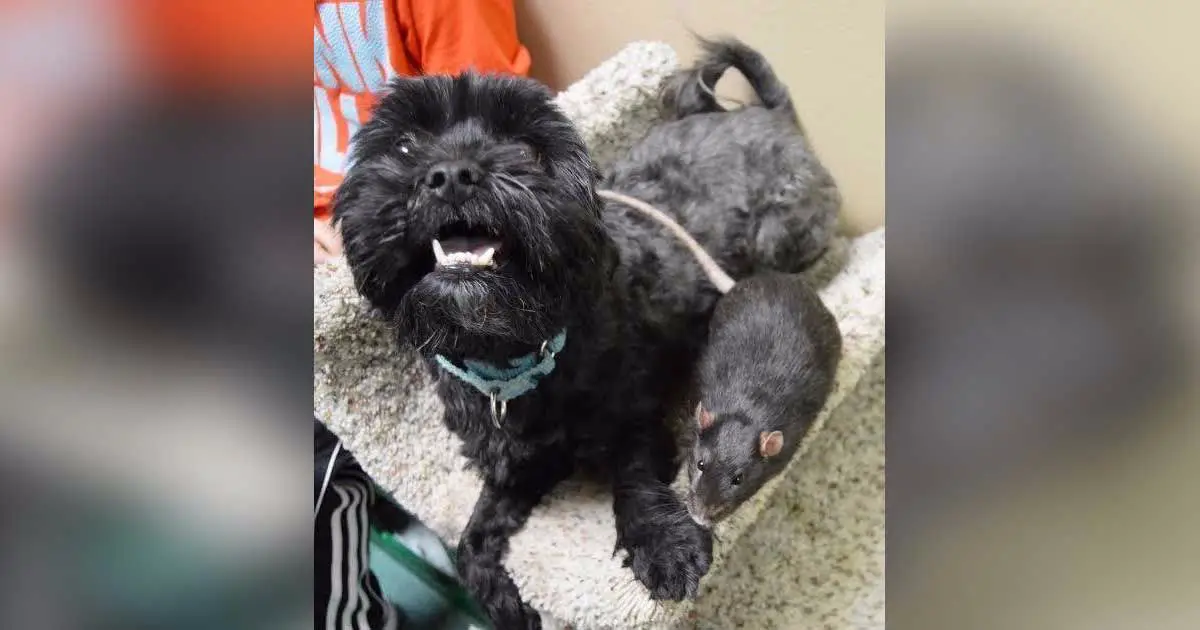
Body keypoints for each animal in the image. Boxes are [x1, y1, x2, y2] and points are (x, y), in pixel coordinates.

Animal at [331, 39, 835, 628]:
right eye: (406, 144)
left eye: (526, 149)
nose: (451, 174)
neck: (509, 358)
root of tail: (773, 114)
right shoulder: (515, 464)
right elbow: (472, 537)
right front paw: (500, 597)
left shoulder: (636, 416)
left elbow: (636, 476)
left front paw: (663, 545)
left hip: (782, 235)